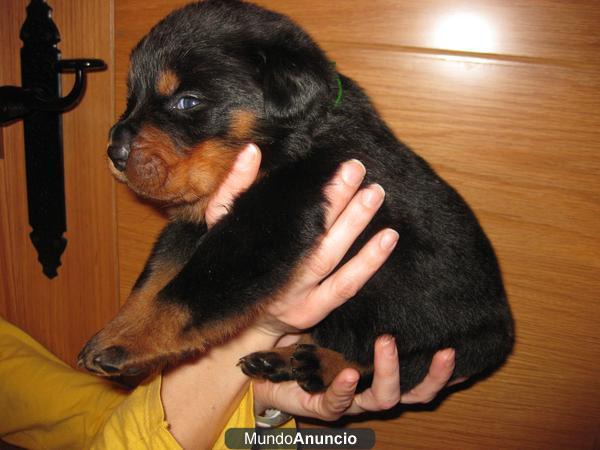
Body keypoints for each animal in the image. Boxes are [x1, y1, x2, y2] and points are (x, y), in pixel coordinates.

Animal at [77, 0, 512, 392]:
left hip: (449, 347)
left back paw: (317, 364)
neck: (289, 140)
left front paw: (123, 345)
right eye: (132, 98)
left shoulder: (272, 216)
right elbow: (155, 280)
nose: (114, 152)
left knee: (391, 365)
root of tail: (503, 335)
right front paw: (114, 333)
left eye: (188, 101)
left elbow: (189, 290)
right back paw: (284, 360)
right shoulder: (196, 221)